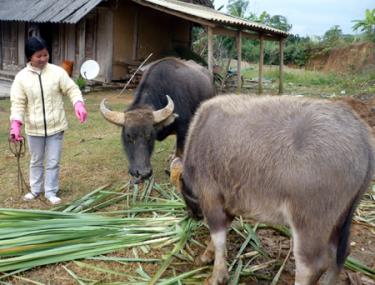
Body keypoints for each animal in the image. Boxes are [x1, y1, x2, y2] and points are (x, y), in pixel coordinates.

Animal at [181, 94, 374, 282]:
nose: (193, 215)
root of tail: (363, 136)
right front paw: (206, 255)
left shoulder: (211, 198)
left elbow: (218, 237)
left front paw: (217, 275)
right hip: (339, 220)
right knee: (340, 254)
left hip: (310, 221)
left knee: (312, 266)